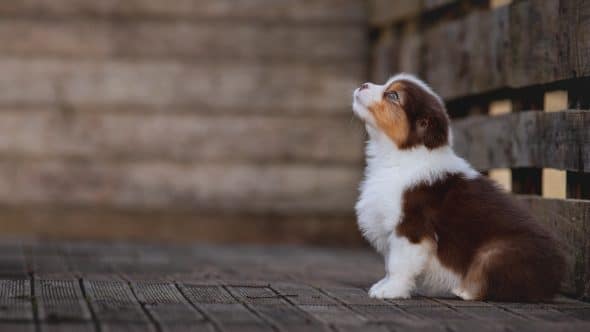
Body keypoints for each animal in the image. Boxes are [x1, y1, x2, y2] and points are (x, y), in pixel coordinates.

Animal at [354, 74, 568, 302]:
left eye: (393, 95)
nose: (363, 85)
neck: (401, 154)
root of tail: (554, 281)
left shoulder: (411, 228)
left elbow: (398, 264)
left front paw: (390, 290)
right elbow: (389, 263)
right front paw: (383, 284)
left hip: (495, 252)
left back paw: (464, 290)